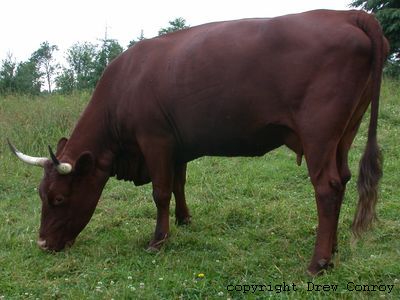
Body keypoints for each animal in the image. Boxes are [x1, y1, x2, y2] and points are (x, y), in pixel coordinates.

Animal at [7, 9, 390, 276]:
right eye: (40, 195)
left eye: (58, 198)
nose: (42, 244)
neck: (126, 83)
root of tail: (346, 15)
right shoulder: (176, 146)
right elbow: (179, 183)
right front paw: (184, 220)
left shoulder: (154, 139)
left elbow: (161, 192)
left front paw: (158, 240)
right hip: (344, 133)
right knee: (343, 179)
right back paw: (334, 248)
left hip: (318, 134)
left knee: (326, 187)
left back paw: (318, 261)